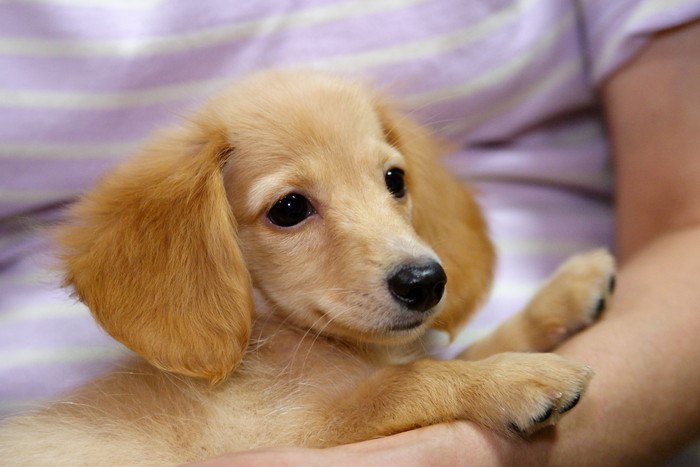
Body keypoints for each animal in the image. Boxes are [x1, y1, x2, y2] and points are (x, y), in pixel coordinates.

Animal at [0, 71, 612, 466]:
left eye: (394, 180)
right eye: (290, 209)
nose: (426, 282)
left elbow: (460, 351)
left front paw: (566, 293)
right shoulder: (302, 430)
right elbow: (411, 379)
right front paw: (515, 379)